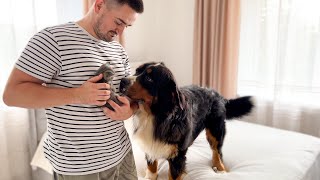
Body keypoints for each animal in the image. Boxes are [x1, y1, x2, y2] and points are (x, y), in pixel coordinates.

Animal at [119, 62, 254, 180]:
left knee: (217, 151)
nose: (122, 81)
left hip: (216, 129)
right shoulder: (149, 147)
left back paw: (220, 168)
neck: (155, 116)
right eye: (137, 71)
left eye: (149, 79)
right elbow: (151, 168)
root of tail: (216, 93)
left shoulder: (177, 157)